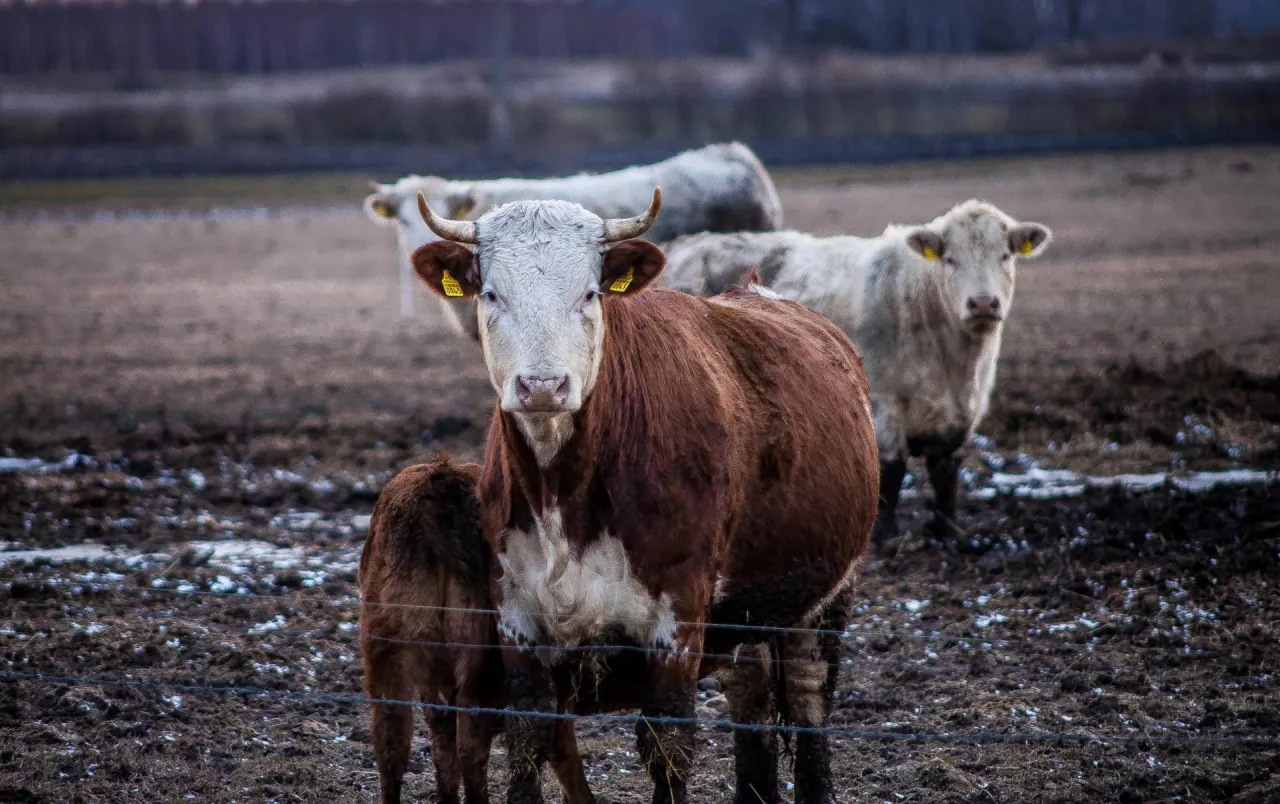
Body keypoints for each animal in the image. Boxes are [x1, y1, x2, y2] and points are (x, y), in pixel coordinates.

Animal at [409, 189, 880, 803]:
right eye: (491, 293)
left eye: (589, 293)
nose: (543, 386)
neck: (565, 494)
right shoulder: (517, 620)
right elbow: (527, 742)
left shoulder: (676, 624)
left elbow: (668, 746)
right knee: (751, 691)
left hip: (825, 595)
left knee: (807, 701)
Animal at [660, 199, 1049, 540]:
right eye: (950, 259)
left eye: (1005, 255)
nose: (983, 303)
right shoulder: (884, 401)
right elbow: (891, 468)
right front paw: (885, 535)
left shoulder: (960, 412)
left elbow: (945, 472)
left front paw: (948, 532)